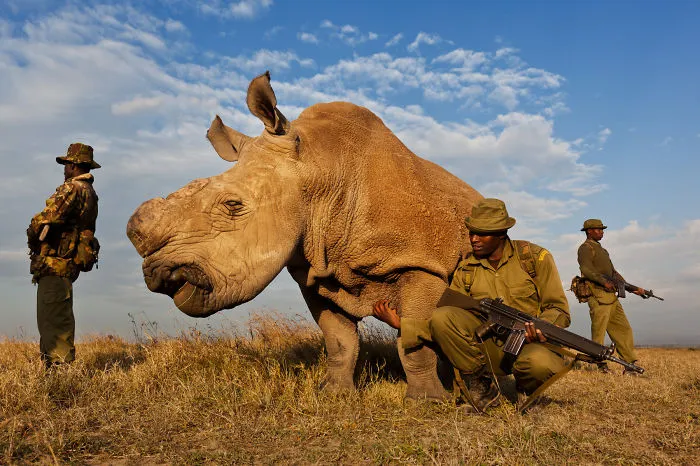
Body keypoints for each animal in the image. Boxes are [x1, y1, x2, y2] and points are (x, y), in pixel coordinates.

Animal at [127, 72, 482, 400]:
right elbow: (339, 340)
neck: (321, 171)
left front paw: (427, 401)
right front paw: (335, 394)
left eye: (232, 205)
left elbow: (413, 340)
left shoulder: (422, 263)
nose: (159, 274)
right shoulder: (315, 272)